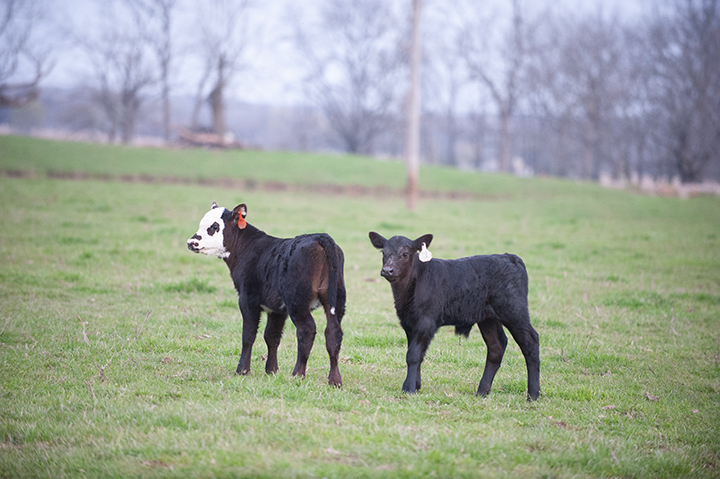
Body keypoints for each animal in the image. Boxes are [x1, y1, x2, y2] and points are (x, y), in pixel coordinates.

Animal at [187, 202, 346, 387]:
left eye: (214, 226)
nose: (191, 242)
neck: (247, 248)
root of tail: (320, 237)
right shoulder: (277, 308)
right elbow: (272, 336)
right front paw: (271, 370)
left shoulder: (247, 300)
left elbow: (248, 335)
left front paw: (242, 370)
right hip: (336, 300)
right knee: (333, 332)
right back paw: (335, 380)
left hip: (297, 301)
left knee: (307, 329)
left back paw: (297, 374)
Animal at [368, 232, 540, 400]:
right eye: (383, 253)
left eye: (405, 254)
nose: (387, 270)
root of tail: (509, 257)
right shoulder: (409, 323)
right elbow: (416, 353)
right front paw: (416, 385)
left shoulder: (426, 322)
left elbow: (413, 355)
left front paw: (408, 388)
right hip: (488, 318)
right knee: (496, 346)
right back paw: (482, 392)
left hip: (515, 311)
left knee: (530, 341)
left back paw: (533, 394)